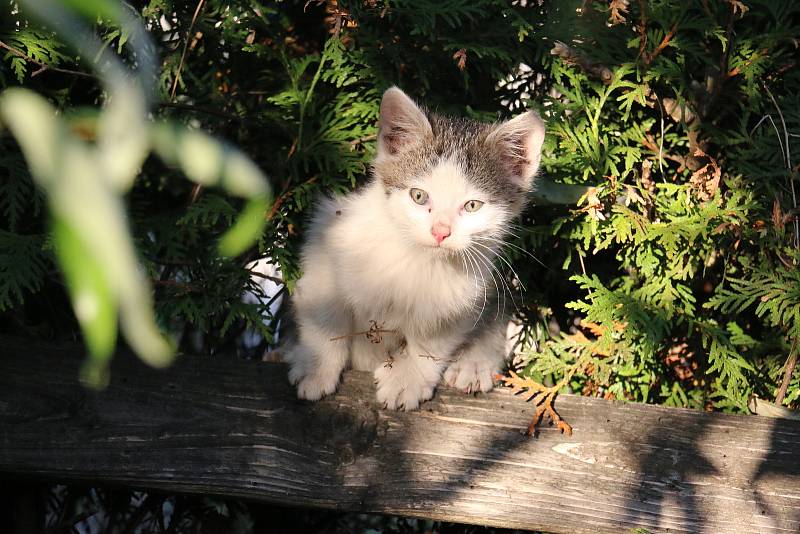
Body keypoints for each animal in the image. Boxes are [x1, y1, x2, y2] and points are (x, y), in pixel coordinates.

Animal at [286, 88, 544, 412]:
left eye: (472, 205)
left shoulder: (464, 295)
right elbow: (324, 312)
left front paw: (407, 377)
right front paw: (316, 366)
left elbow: (434, 338)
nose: (440, 231)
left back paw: (474, 364)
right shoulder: (327, 236)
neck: (418, 257)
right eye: (418, 196)